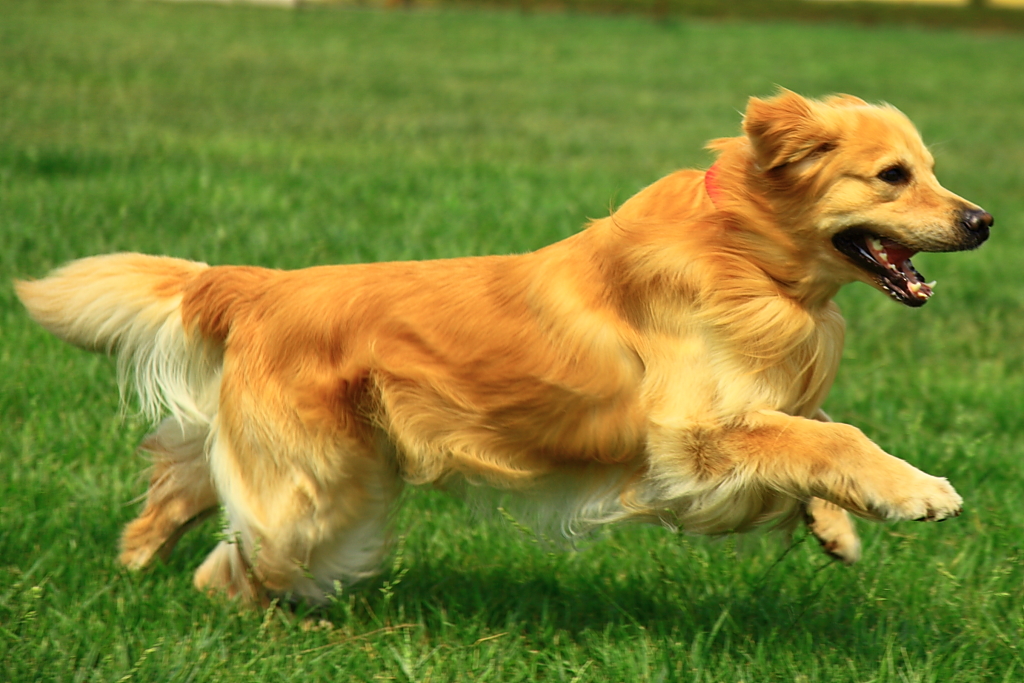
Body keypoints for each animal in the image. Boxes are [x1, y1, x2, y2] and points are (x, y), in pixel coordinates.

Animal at [18, 89, 991, 602]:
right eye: (893, 176)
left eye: (933, 170)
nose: (982, 220)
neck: (746, 253)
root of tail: (266, 286)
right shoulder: (685, 442)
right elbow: (823, 431)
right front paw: (915, 491)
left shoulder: (735, 412)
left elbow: (811, 424)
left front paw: (837, 524)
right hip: (317, 494)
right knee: (235, 555)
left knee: (186, 467)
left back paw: (140, 550)